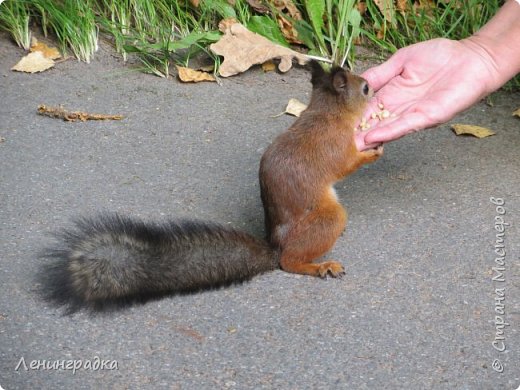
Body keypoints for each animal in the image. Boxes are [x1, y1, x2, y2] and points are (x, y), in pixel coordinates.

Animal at [38, 61, 382, 312]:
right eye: (364, 87)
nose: (374, 88)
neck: (327, 111)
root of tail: (276, 246)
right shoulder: (335, 146)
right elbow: (347, 163)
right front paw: (373, 152)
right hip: (326, 220)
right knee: (290, 262)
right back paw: (320, 266)